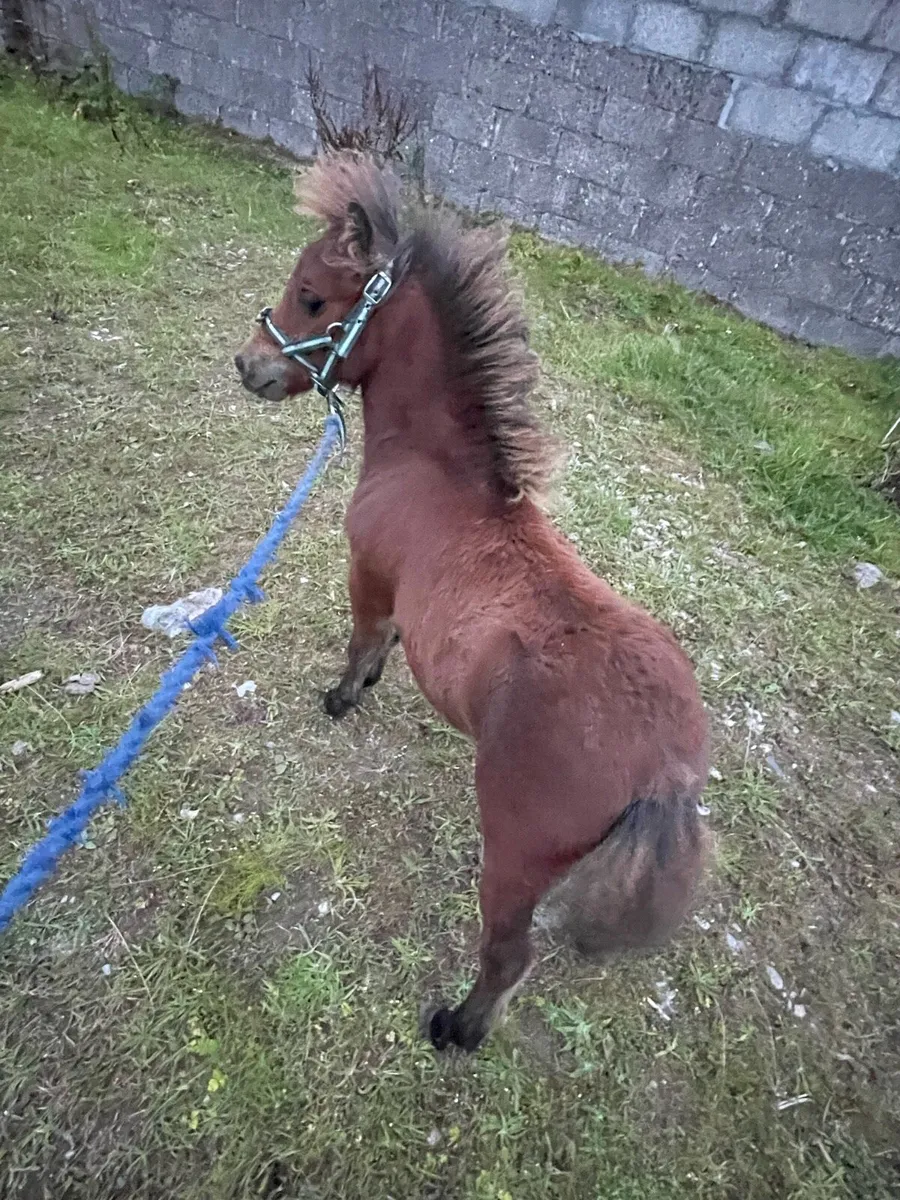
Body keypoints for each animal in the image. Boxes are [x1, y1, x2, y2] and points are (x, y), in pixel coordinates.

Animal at [234, 152, 710, 1053]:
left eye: (312, 296)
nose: (248, 365)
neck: (434, 473)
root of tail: (665, 766)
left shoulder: (366, 570)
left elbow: (362, 636)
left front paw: (343, 697)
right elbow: (386, 640)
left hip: (516, 857)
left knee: (507, 955)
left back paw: (456, 1028)